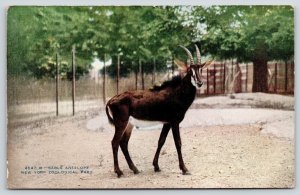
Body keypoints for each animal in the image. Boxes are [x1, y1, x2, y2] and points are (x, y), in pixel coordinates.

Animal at [106, 45, 212, 177]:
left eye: (201, 69)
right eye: (190, 70)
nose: (199, 83)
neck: (177, 93)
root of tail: (111, 100)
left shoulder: (166, 123)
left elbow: (161, 141)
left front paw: (156, 166)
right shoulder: (174, 122)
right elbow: (178, 143)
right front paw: (184, 169)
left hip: (129, 125)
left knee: (123, 143)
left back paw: (135, 169)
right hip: (121, 123)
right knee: (115, 142)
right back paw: (119, 172)